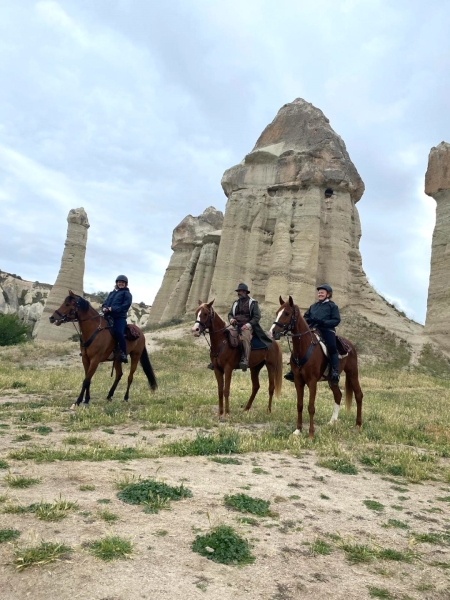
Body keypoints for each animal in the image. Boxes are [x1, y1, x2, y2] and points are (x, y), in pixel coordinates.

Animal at [270, 294, 362, 436]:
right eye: (277, 312)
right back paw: (332, 422)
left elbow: (311, 407)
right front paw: (298, 430)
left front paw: (311, 434)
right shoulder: (298, 380)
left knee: (358, 395)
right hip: (332, 380)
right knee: (338, 395)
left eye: (286, 313)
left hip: (352, 373)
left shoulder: (312, 382)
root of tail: (350, 345)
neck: (304, 347)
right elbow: (300, 405)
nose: (273, 332)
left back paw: (357, 425)